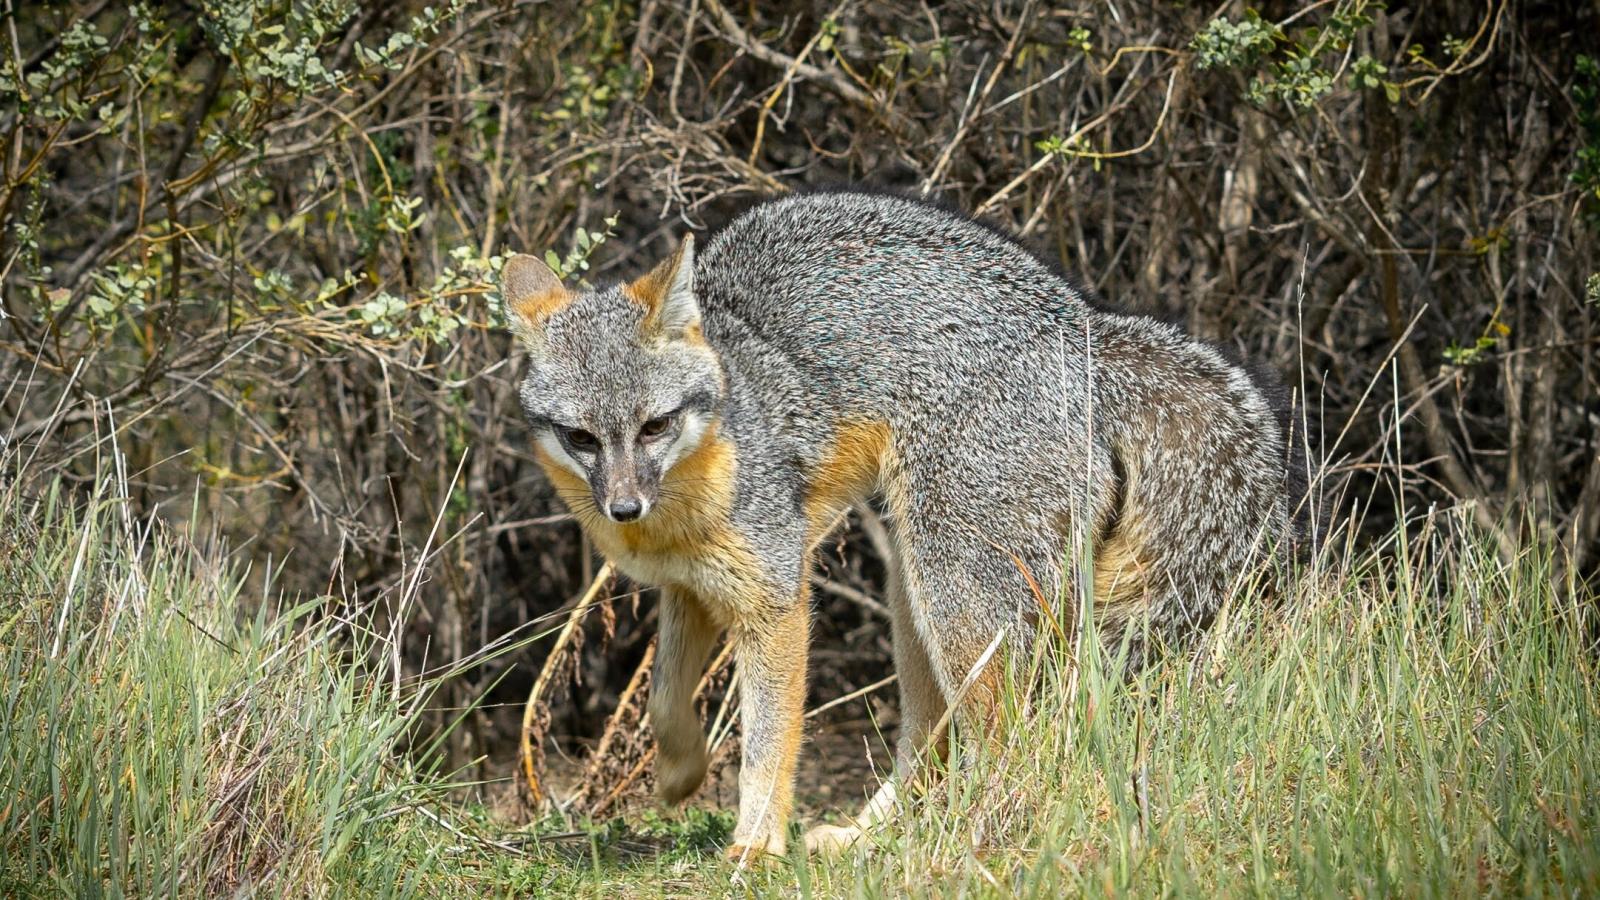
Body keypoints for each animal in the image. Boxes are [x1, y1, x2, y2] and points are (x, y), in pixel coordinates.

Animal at [508, 187, 1299, 851]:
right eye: (581, 437)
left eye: (653, 426)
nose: (623, 507)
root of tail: (1082, 328)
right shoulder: (688, 588)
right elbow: (664, 702)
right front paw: (680, 775)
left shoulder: (776, 602)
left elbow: (769, 746)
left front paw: (753, 848)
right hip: (914, 598)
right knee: (930, 744)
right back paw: (868, 839)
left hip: (951, 592)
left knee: (1008, 742)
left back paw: (969, 837)